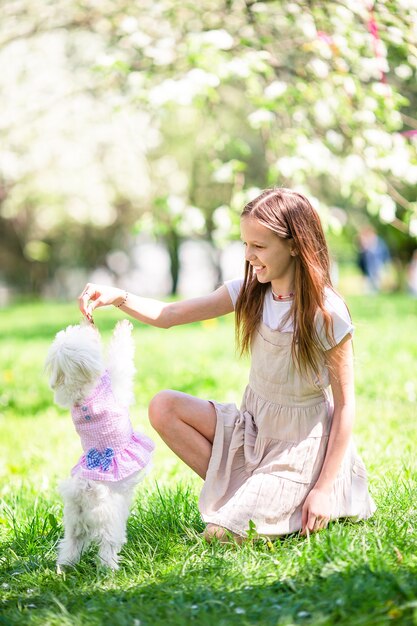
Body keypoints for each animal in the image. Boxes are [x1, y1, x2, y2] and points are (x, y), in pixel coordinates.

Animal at [44, 320, 154, 568]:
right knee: (107, 546)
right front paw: (123, 327)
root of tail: (83, 490)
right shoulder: (117, 383)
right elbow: (120, 356)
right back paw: (110, 568)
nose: (87, 323)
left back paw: (64, 567)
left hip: (73, 524)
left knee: (70, 544)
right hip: (110, 522)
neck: (82, 393)